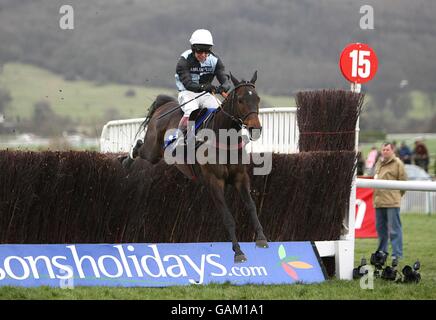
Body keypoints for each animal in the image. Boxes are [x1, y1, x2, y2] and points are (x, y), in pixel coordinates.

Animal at [136, 72, 268, 262]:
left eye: (257, 98)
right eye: (241, 100)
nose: (255, 128)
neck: (224, 139)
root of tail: (165, 104)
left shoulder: (240, 177)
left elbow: (251, 206)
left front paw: (261, 238)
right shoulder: (214, 182)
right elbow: (228, 218)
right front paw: (238, 252)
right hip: (153, 150)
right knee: (140, 149)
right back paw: (127, 158)